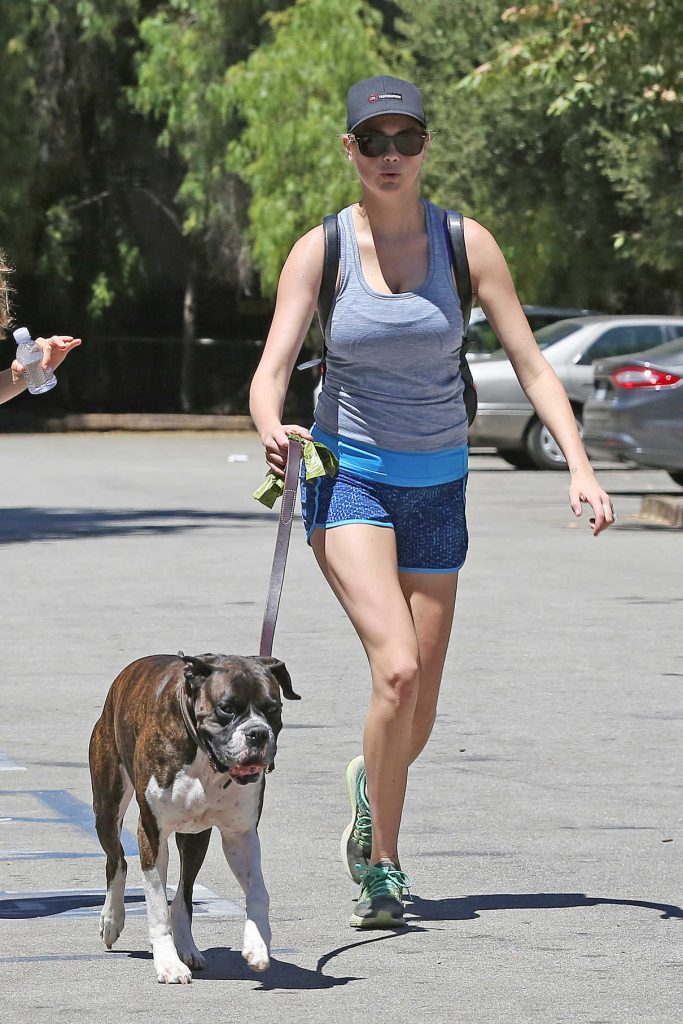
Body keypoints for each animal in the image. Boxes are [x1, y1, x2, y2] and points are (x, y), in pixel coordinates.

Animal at [89, 655, 299, 983]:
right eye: (227, 708)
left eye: (273, 708)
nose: (257, 733)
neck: (204, 757)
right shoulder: (152, 832)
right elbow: (156, 905)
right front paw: (168, 964)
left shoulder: (240, 836)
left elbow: (258, 893)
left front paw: (257, 945)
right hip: (107, 811)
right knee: (117, 861)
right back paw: (112, 919)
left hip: (195, 838)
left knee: (183, 896)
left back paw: (187, 949)